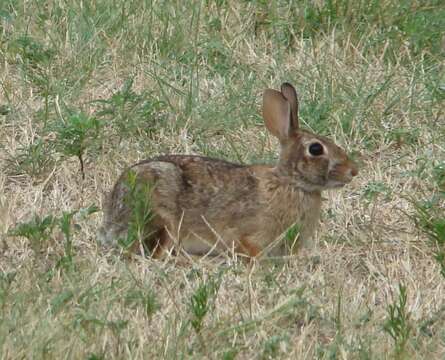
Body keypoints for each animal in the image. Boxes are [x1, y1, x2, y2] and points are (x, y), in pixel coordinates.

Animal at [98, 83, 358, 258]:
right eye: (316, 149)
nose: (353, 171)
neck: (292, 184)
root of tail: (112, 220)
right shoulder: (248, 235)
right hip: (163, 218)